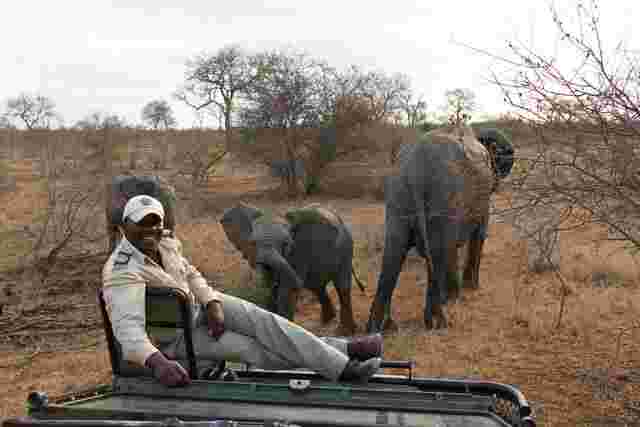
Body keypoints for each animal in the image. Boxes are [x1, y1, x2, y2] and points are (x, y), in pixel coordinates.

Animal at [220, 202, 364, 336]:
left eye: (286, 244)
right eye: (252, 243)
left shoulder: (300, 250)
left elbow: (287, 290)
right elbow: (269, 287)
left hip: (346, 249)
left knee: (342, 286)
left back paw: (344, 332)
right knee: (317, 286)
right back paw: (327, 321)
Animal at [368, 125, 512, 332]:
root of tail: (415, 167)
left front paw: (454, 296)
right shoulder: (481, 199)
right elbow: (478, 234)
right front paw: (469, 290)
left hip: (399, 193)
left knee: (394, 253)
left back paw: (380, 327)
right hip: (443, 193)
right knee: (438, 251)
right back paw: (439, 323)